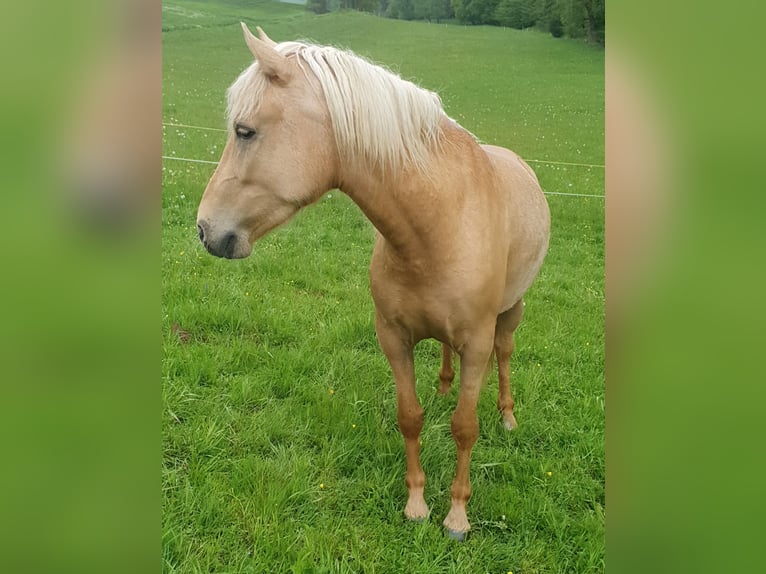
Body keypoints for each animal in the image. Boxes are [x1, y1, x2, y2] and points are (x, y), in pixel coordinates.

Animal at [195, 23, 548, 544]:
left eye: (245, 130)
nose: (205, 230)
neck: (440, 222)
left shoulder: (477, 342)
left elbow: (465, 426)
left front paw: (456, 517)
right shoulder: (393, 337)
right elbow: (411, 417)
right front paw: (417, 505)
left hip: (511, 312)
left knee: (504, 357)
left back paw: (506, 416)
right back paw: (444, 388)